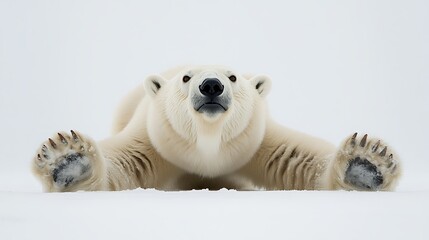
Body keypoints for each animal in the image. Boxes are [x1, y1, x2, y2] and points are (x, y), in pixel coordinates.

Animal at [31, 65, 400, 191]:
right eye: (186, 77)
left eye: (233, 77)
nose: (211, 85)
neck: (208, 145)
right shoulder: (157, 138)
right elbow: (123, 163)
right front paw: (67, 160)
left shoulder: (256, 138)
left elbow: (298, 160)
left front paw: (367, 162)